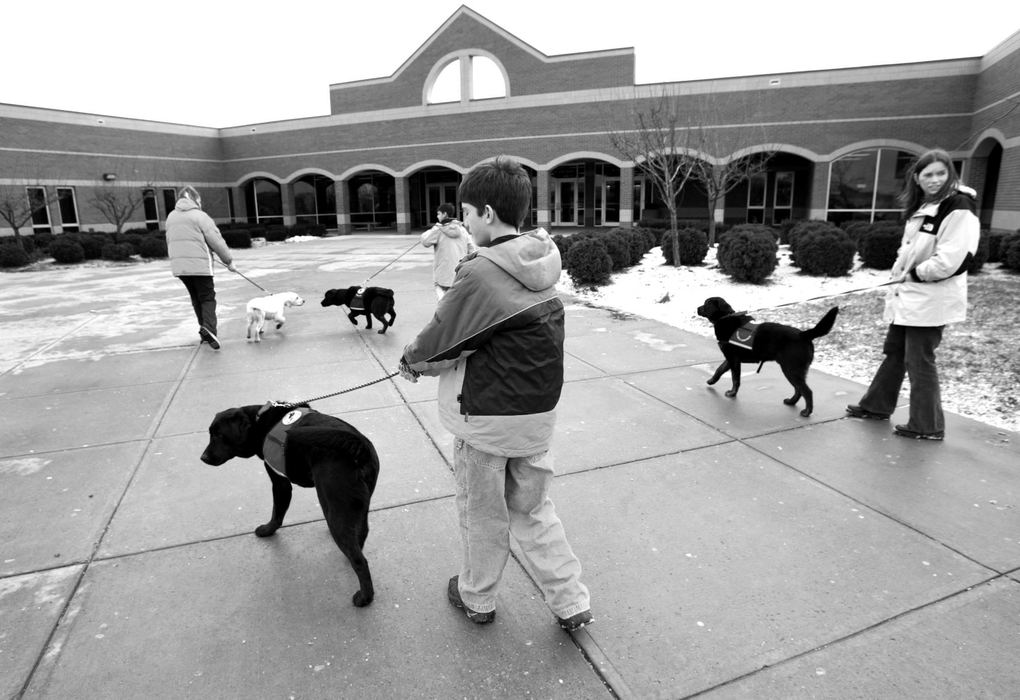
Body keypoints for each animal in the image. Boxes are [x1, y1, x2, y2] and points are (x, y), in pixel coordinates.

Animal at [198, 406, 379, 608]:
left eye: (219, 435)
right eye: (210, 434)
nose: (203, 457)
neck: (259, 421)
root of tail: (358, 445)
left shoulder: (280, 483)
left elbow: (277, 512)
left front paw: (267, 529)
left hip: (336, 509)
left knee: (360, 560)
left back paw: (365, 597)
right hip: (359, 507)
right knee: (361, 536)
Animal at [697, 295, 840, 416]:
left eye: (706, 304)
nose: (697, 308)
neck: (725, 317)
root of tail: (803, 334)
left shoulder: (733, 359)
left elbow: (735, 379)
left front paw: (732, 393)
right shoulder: (730, 359)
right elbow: (719, 369)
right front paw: (711, 380)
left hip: (790, 369)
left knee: (806, 391)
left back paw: (807, 411)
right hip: (795, 370)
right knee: (799, 389)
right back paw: (791, 402)